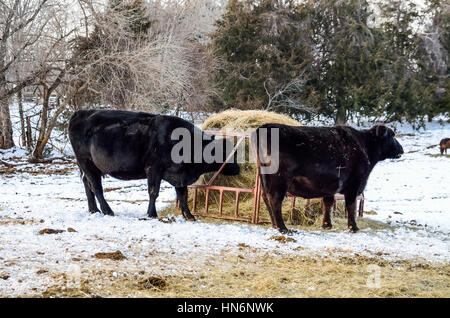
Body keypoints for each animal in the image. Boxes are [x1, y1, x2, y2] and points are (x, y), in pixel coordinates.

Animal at [67, 109, 239, 219]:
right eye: (225, 153)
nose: (238, 169)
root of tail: (81, 112)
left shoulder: (179, 175)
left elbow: (183, 195)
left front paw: (189, 215)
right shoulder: (154, 168)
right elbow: (153, 192)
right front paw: (152, 214)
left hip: (85, 166)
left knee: (87, 184)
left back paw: (93, 210)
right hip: (86, 162)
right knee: (96, 187)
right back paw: (107, 210)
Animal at [253, 124, 404, 234]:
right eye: (392, 135)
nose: (401, 149)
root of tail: (263, 128)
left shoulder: (329, 186)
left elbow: (328, 203)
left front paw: (327, 224)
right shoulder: (354, 185)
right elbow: (350, 205)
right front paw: (353, 227)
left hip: (264, 178)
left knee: (266, 198)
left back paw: (274, 225)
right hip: (280, 180)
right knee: (275, 200)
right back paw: (283, 228)